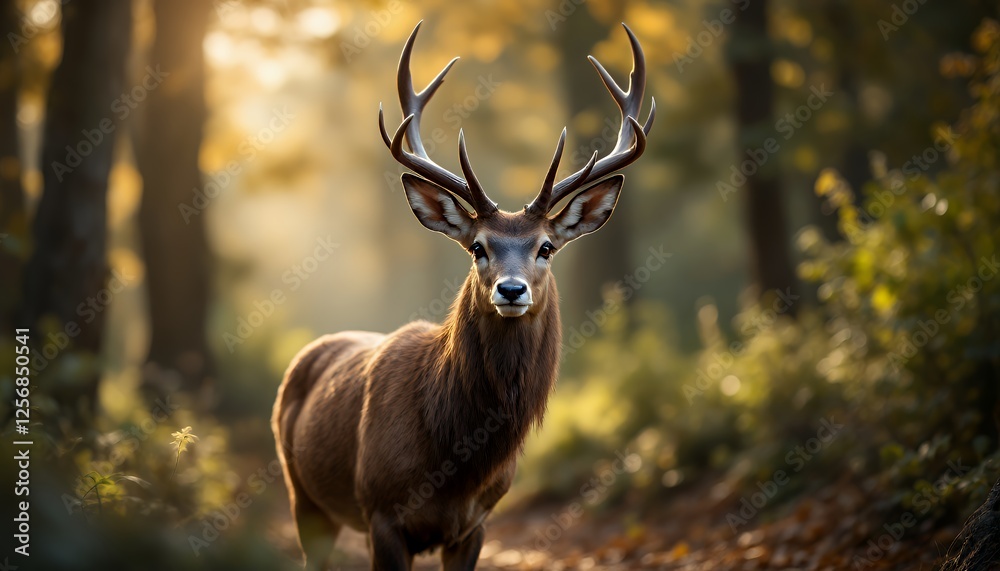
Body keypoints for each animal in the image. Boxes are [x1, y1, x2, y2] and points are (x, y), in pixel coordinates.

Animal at [271, 21, 654, 571]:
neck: (454, 464)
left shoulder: (476, 523)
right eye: (478, 247)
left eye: (546, 247)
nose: (511, 289)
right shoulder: (381, 512)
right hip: (301, 494)